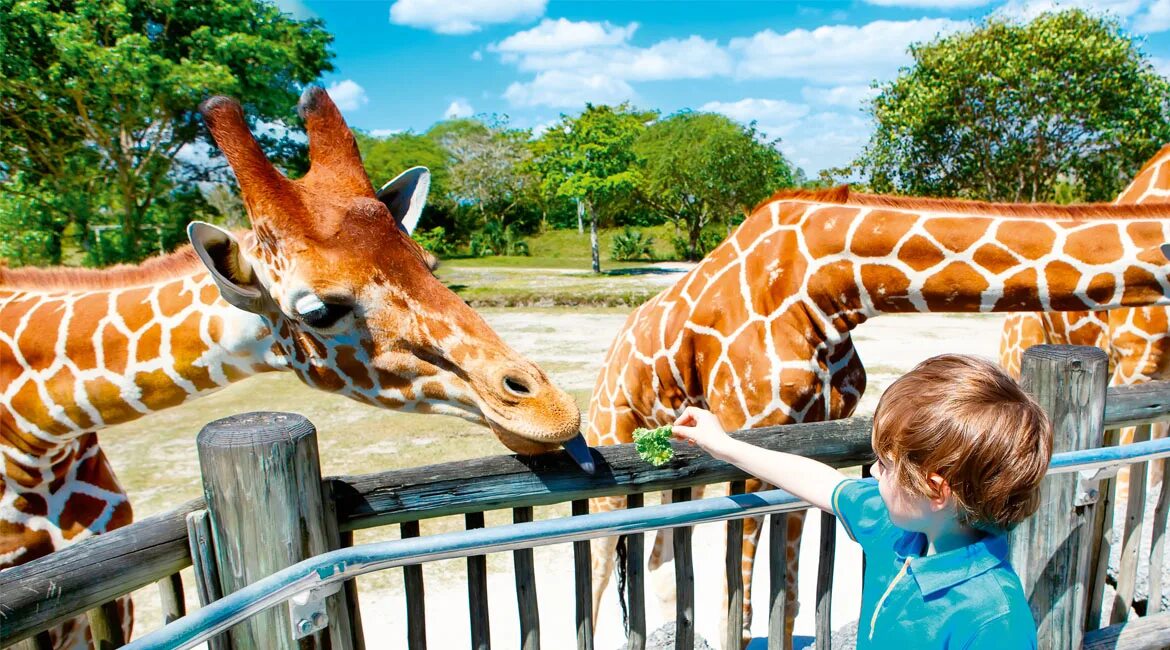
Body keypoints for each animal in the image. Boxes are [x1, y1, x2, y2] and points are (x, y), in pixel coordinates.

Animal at [594, 185, 1170, 645]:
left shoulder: (804, 427)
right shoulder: (751, 420)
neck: (830, 287)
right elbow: (741, 610)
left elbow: (789, 599)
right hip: (611, 429)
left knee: (658, 558)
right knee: (603, 561)